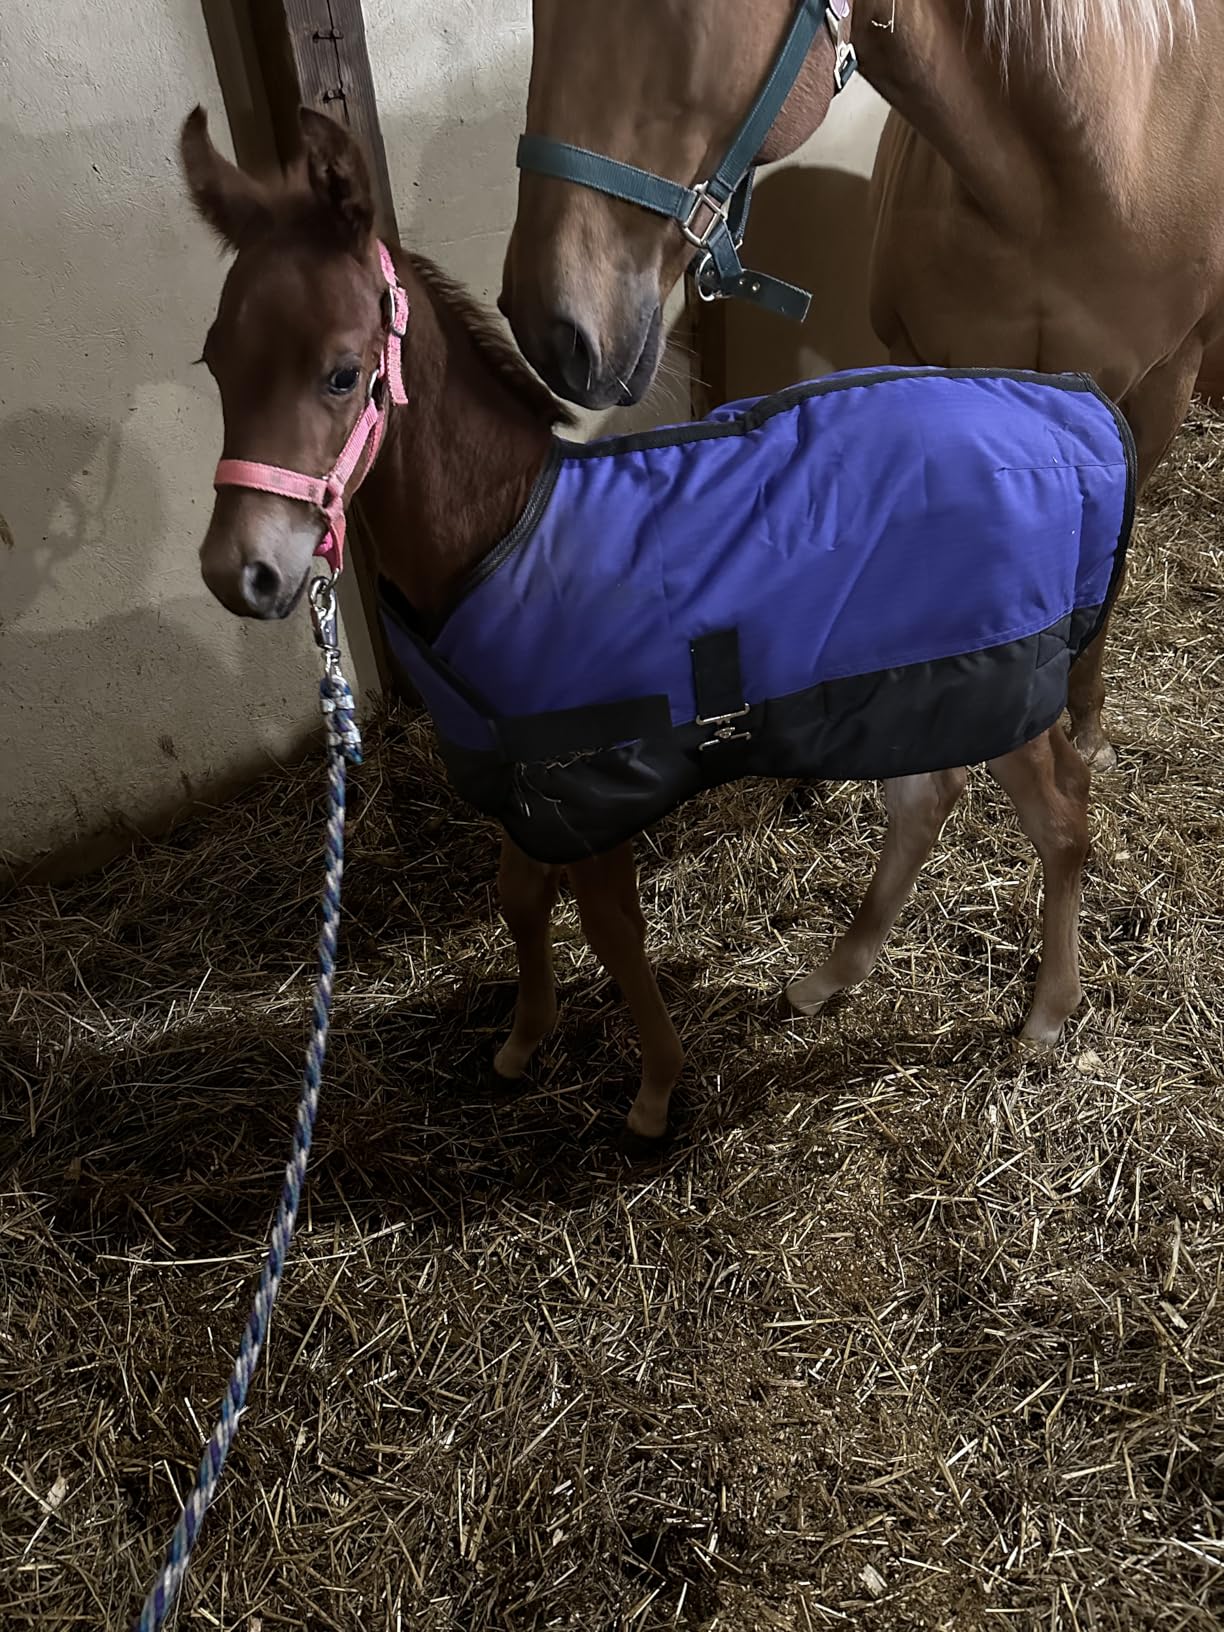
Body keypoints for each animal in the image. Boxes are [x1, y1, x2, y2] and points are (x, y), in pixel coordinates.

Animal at [180, 104, 1108, 1144]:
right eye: (215, 359)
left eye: (343, 374)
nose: (242, 571)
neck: (507, 531)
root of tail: (1071, 416)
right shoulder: (523, 766)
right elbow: (519, 898)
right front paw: (522, 1041)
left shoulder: (595, 773)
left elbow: (613, 931)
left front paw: (657, 1090)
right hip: (918, 685)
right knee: (928, 799)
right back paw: (827, 979)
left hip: (1006, 677)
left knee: (1060, 816)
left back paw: (1046, 1014)